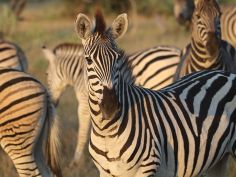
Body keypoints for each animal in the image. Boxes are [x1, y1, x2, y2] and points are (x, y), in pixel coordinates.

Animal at [75, 10, 236, 177]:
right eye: (88, 60)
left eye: (118, 58)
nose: (110, 106)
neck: (105, 131)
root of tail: (226, 74)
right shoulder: (105, 171)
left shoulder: (147, 166)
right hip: (218, 159)